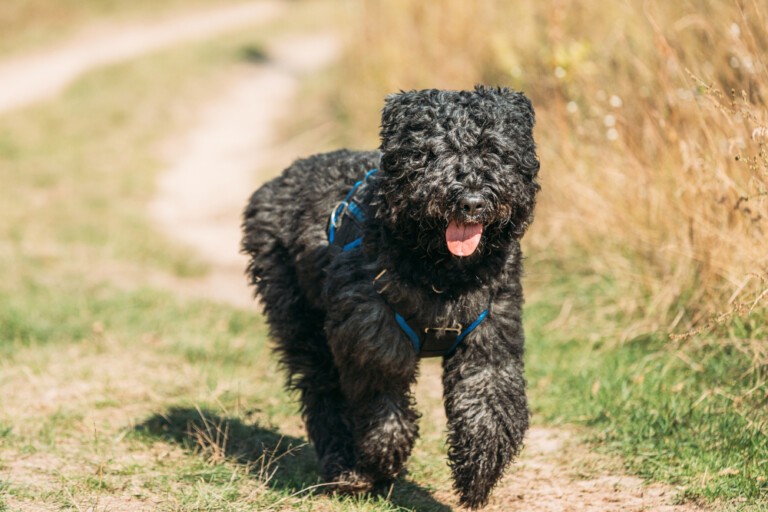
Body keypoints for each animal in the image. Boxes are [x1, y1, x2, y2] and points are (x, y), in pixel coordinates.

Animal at [242, 85, 540, 508]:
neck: (441, 274)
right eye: (432, 152)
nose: (471, 201)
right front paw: (382, 460)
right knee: (323, 393)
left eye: (494, 150)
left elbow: (488, 404)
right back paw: (344, 465)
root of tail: (278, 180)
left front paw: (479, 471)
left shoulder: (489, 337)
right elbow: (382, 407)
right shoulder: (374, 341)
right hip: (300, 322)